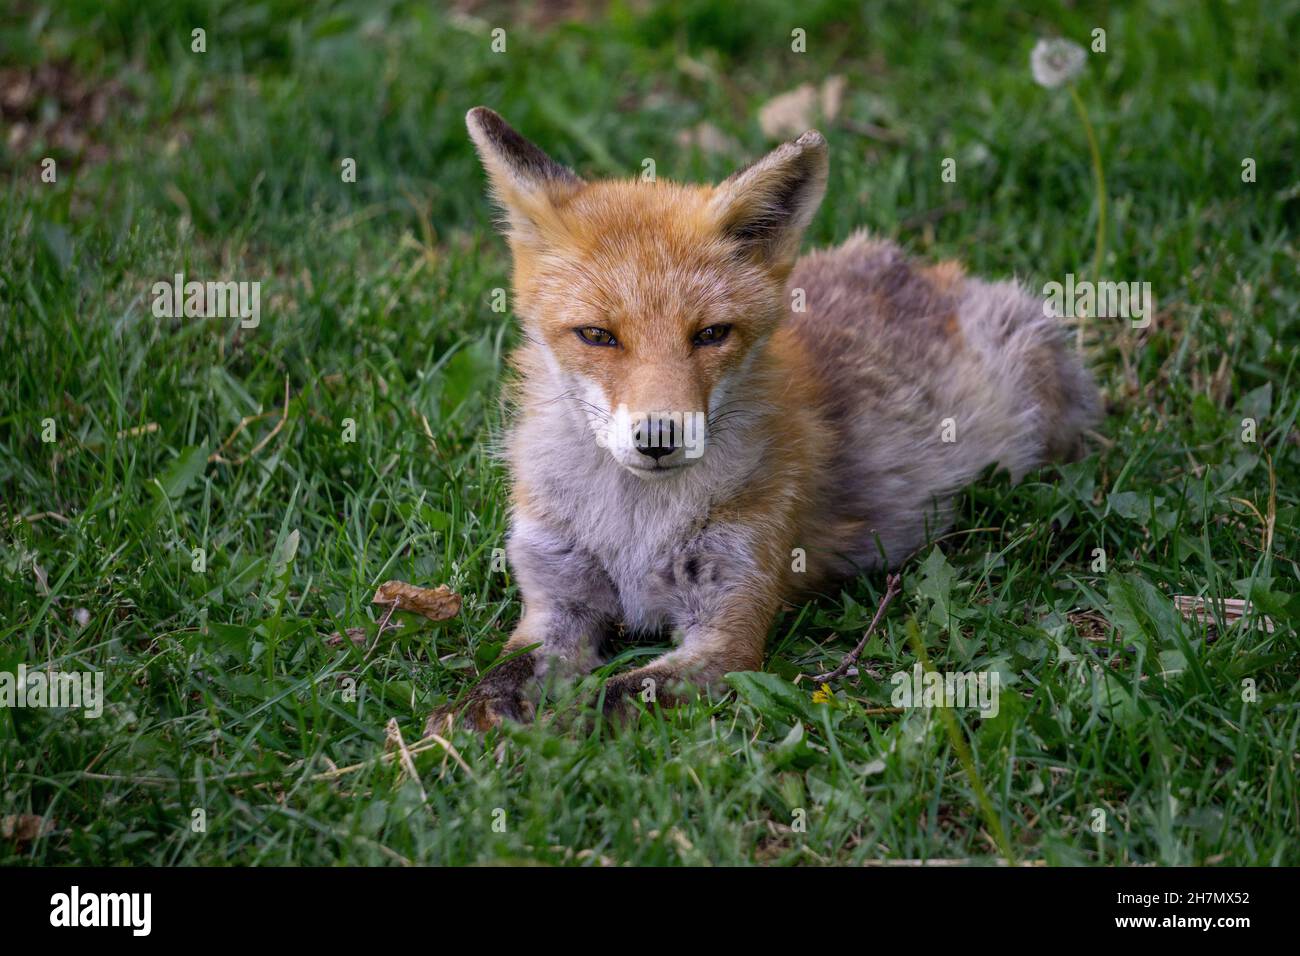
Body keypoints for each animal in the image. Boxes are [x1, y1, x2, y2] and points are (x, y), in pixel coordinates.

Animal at [447, 104, 1097, 728]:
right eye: (597, 335)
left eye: (711, 334)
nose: (659, 436)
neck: (634, 524)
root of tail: (916, 265)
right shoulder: (556, 603)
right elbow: (501, 672)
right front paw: (462, 726)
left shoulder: (729, 627)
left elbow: (614, 696)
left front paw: (553, 735)